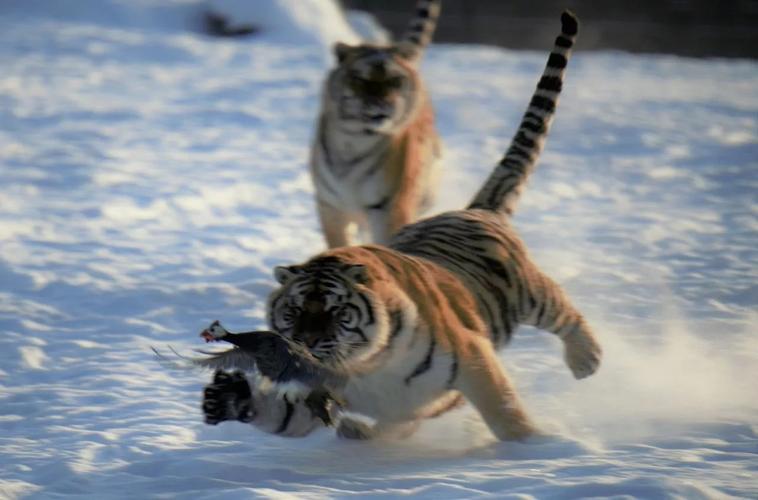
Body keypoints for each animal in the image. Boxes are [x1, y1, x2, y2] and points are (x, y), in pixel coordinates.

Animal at [311, 0, 443, 247]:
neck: (354, 139)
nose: (383, 103)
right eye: (362, 80)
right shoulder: (331, 207)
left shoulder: (388, 208)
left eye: (394, 80)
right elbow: (338, 243)